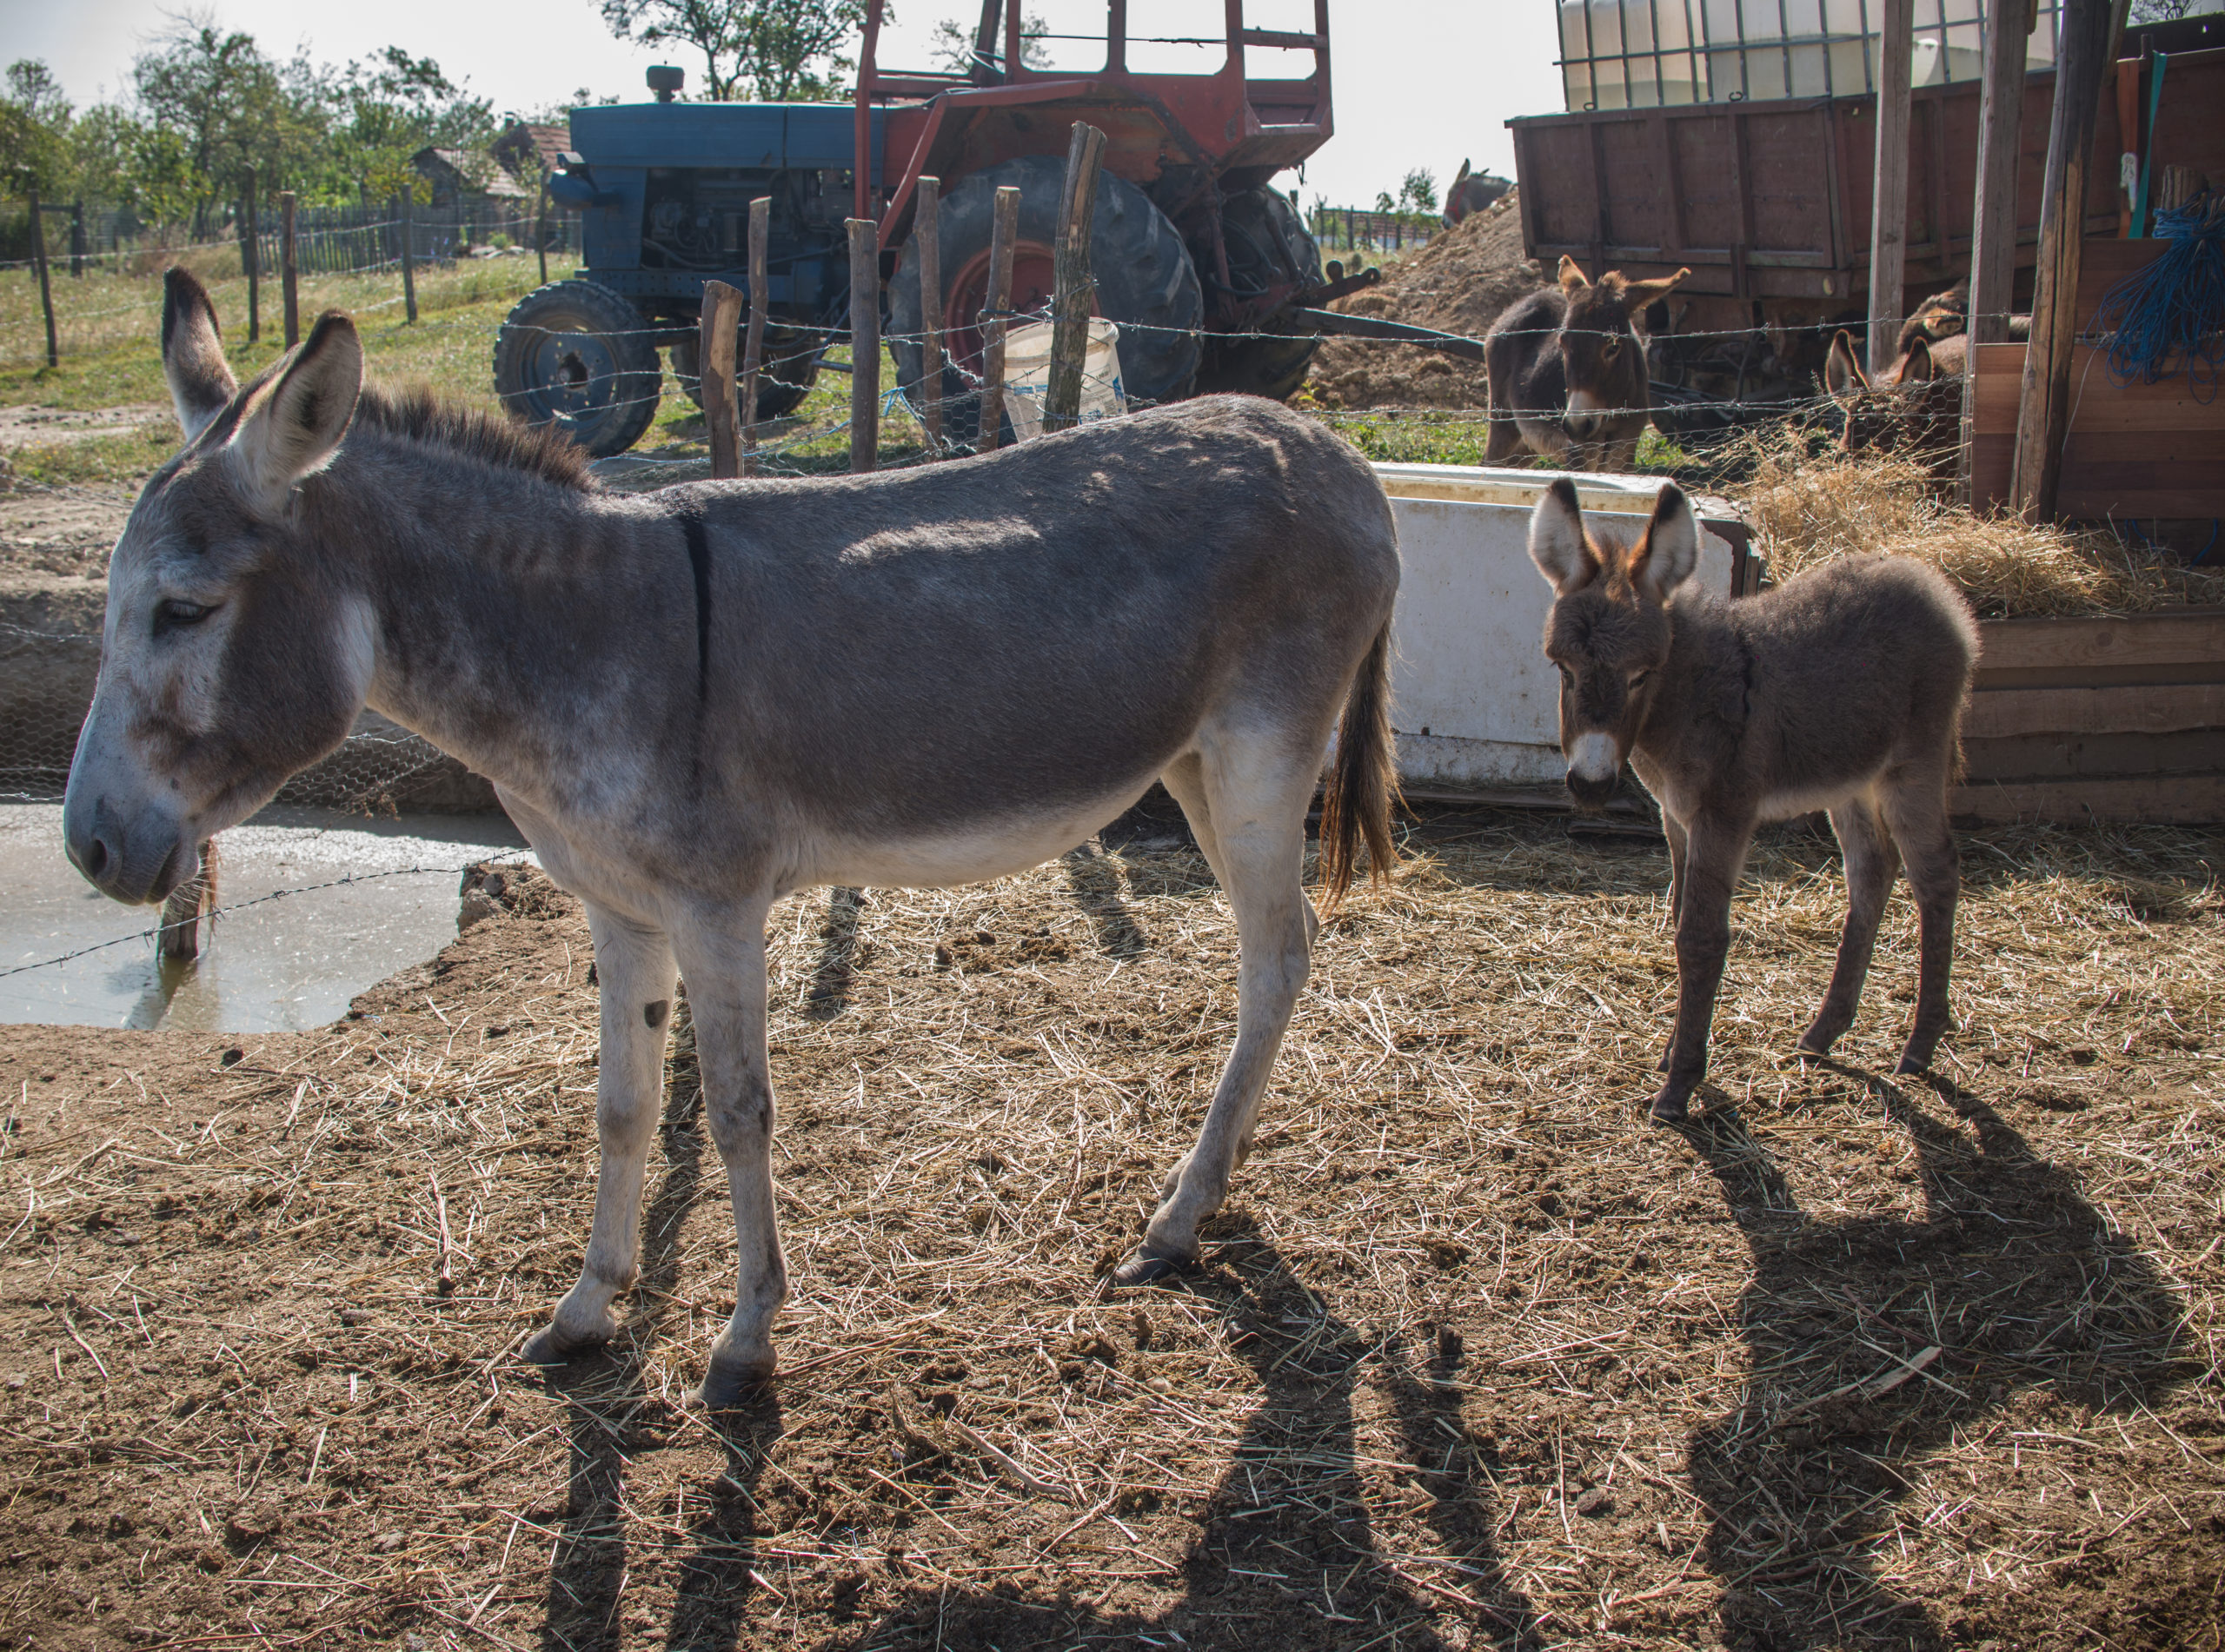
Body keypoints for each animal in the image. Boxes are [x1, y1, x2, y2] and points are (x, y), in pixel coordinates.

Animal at [1531, 478, 1984, 1125]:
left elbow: (1701, 937)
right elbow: (1679, 915)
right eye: (1562, 668)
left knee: (1936, 875)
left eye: (1643, 673)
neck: (1687, 694)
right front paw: (1673, 1051)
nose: (1591, 786)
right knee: (1872, 874)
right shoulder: (1676, 817)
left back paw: (1921, 1043)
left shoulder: (1724, 814)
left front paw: (1681, 1083)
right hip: (1851, 779)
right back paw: (1825, 1032)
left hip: (1912, 767)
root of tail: (1930, 583)